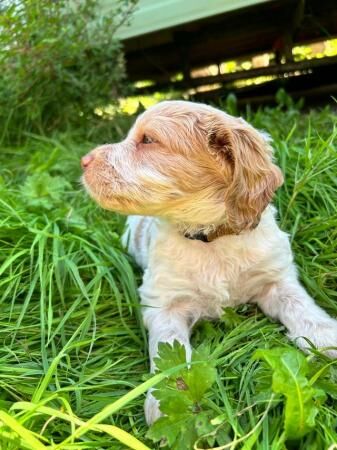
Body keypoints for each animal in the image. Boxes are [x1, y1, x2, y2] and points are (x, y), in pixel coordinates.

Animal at [80, 100, 336, 424]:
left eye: (148, 140)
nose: (83, 161)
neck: (209, 238)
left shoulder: (276, 278)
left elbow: (302, 307)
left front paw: (327, 339)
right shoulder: (163, 304)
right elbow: (169, 349)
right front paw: (171, 401)